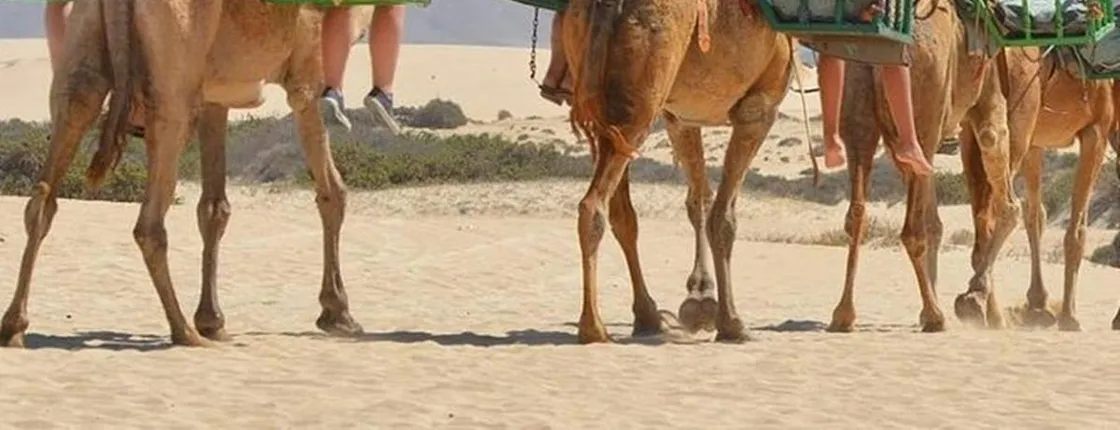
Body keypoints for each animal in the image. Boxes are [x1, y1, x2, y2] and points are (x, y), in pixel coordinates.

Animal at [0, 0, 374, 347]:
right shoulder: (307, 75)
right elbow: (333, 192)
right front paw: (338, 313)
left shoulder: (216, 95)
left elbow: (214, 208)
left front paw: (213, 320)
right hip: (173, 84)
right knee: (150, 221)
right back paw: (184, 332)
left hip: (82, 54)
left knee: (50, 178)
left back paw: (14, 327)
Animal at [561, 0, 796, 343]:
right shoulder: (758, 108)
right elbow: (723, 217)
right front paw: (731, 322)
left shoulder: (681, 118)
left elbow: (699, 201)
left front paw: (701, 300)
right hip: (642, 101)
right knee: (594, 205)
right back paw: (594, 327)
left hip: (602, 102)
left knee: (621, 214)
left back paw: (646, 317)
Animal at [826, 4, 1040, 332]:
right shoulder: (991, 100)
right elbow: (1006, 206)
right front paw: (975, 299)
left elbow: (938, 221)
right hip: (923, 107)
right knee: (914, 228)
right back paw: (934, 315)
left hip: (859, 103)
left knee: (857, 214)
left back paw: (844, 314)